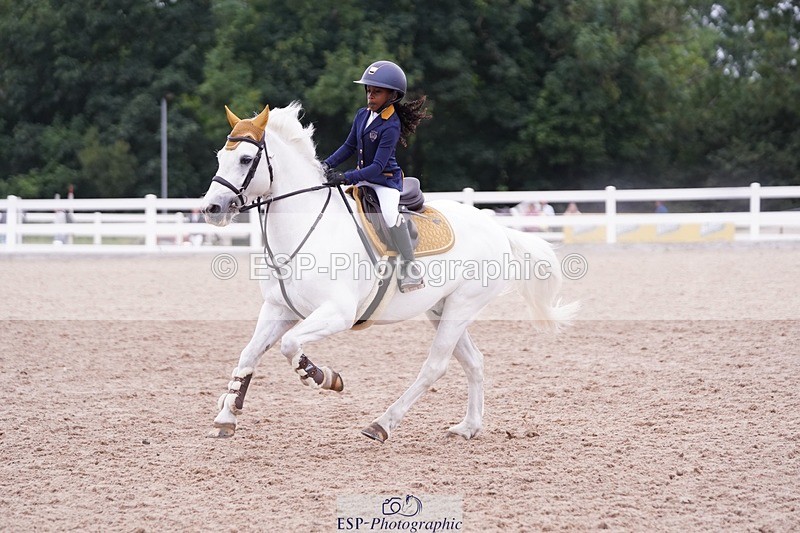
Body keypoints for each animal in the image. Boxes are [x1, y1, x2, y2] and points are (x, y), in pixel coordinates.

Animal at [200, 102, 578, 442]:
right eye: (219, 157)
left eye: (245, 160)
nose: (211, 208)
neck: (307, 229)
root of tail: (495, 226)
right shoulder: (278, 310)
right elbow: (248, 355)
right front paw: (227, 416)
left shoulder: (337, 313)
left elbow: (290, 345)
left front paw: (323, 377)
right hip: (440, 309)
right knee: (474, 362)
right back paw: (468, 427)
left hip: (463, 305)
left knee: (435, 366)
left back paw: (381, 424)